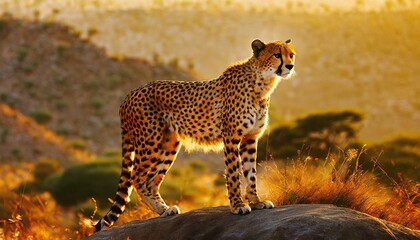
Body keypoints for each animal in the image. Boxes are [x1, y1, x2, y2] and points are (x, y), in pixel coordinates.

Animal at [96, 39, 296, 231]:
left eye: (291, 54)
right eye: (277, 55)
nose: (290, 66)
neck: (262, 82)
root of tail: (130, 94)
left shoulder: (250, 138)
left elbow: (250, 173)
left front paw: (256, 201)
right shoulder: (231, 137)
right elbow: (233, 173)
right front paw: (238, 205)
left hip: (169, 145)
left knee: (151, 180)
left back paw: (164, 209)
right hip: (150, 142)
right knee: (136, 177)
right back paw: (160, 208)